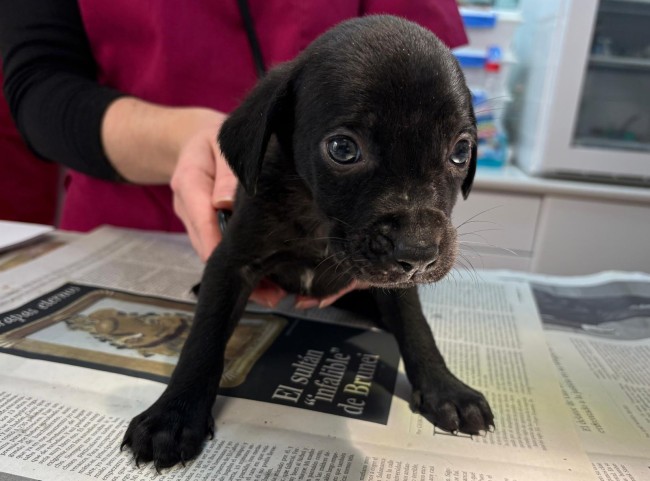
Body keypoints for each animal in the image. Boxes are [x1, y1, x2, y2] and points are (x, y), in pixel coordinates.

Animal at [122, 15, 494, 469]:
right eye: (343, 148)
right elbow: (203, 339)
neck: (317, 219)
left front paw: (444, 387)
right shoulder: (231, 263)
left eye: (460, 151)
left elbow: (416, 325)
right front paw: (173, 415)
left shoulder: (397, 284)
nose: (419, 252)